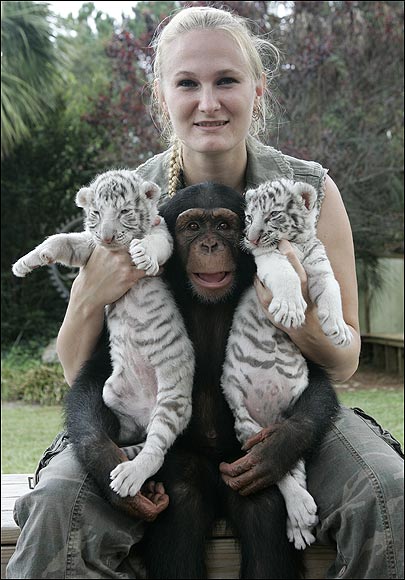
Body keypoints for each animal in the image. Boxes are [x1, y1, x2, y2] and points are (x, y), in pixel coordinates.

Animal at [65, 182, 338, 580]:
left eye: (223, 226)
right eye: (193, 227)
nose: (210, 245)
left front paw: (278, 449)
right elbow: (93, 371)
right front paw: (104, 458)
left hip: (241, 452)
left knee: (262, 501)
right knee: (182, 495)